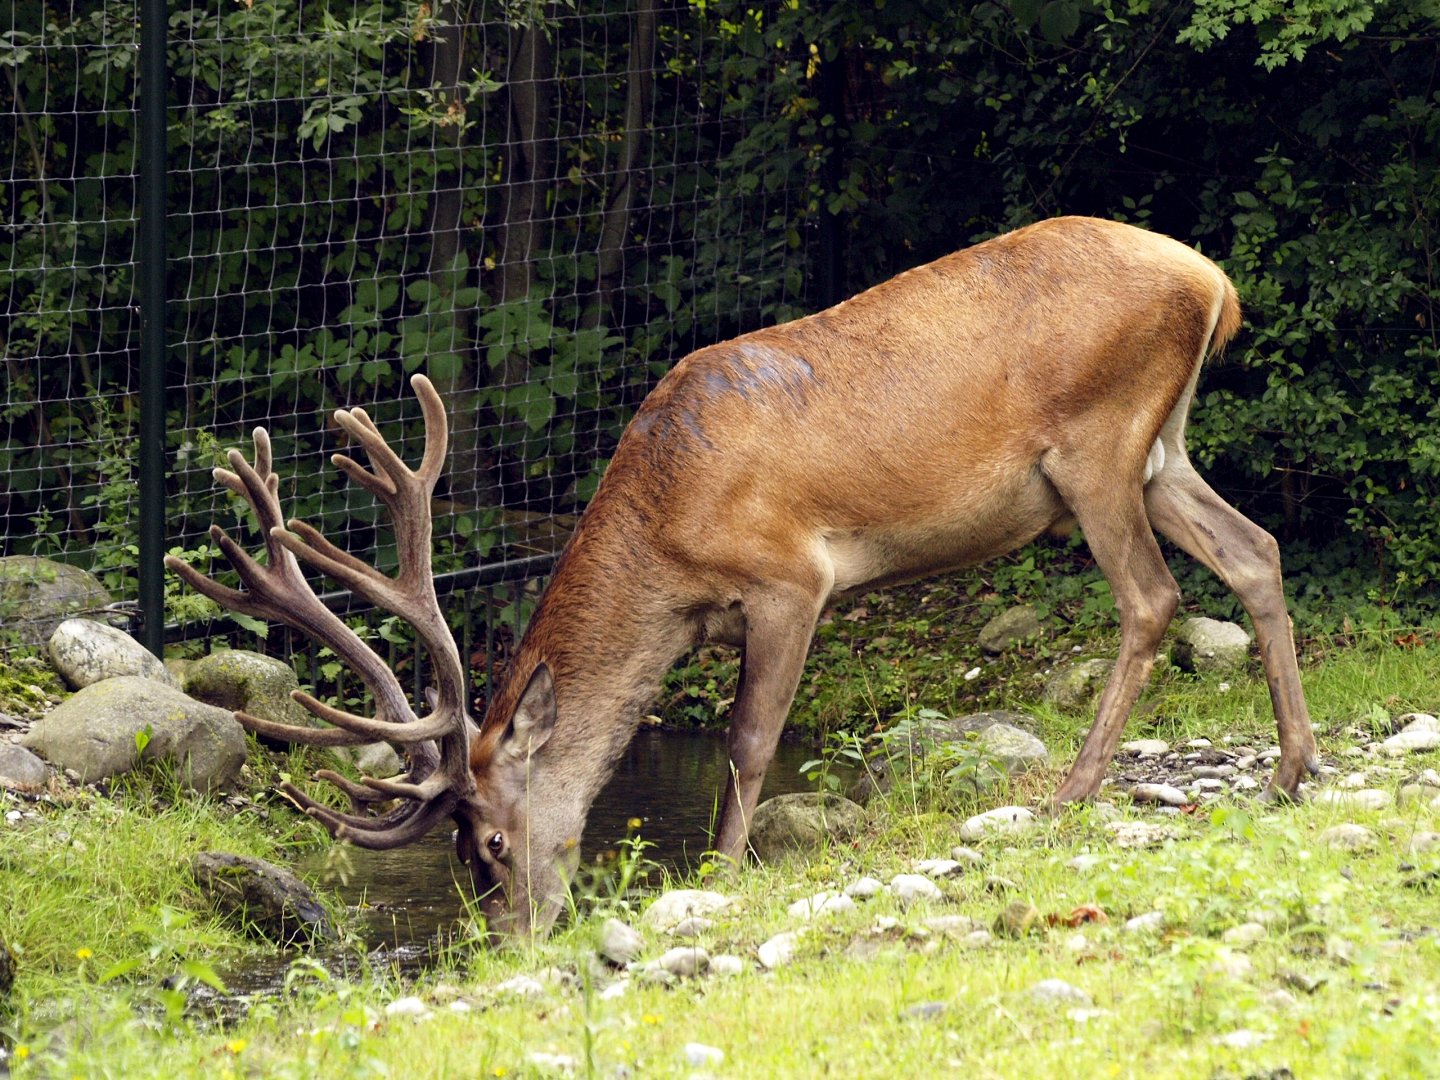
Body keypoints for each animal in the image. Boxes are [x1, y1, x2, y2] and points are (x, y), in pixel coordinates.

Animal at [170, 216, 1320, 940]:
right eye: (462, 853)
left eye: (490, 839)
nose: (508, 939)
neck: (667, 533)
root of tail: (1214, 284)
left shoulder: (788, 580)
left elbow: (750, 741)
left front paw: (719, 873)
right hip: (1160, 447)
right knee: (1256, 549)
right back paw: (1291, 765)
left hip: (1098, 442)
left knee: (1153, 599)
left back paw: (1075, 790)